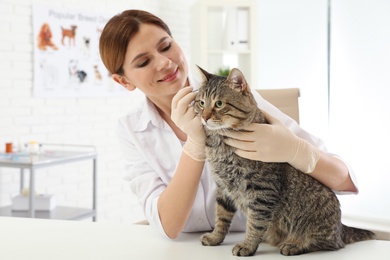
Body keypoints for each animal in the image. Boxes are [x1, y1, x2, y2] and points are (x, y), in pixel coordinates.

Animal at [193, 66, 376, 256]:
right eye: (201, 103)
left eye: (219, 104)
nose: (204, 117)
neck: (219, 144)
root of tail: (341, 227)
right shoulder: (223, 188)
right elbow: (221, 217)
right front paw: (215, 237)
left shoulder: (262, 191)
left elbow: (255, 223)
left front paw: (248, 245)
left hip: (318, 224)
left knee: (328, 243)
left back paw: (295, 244)